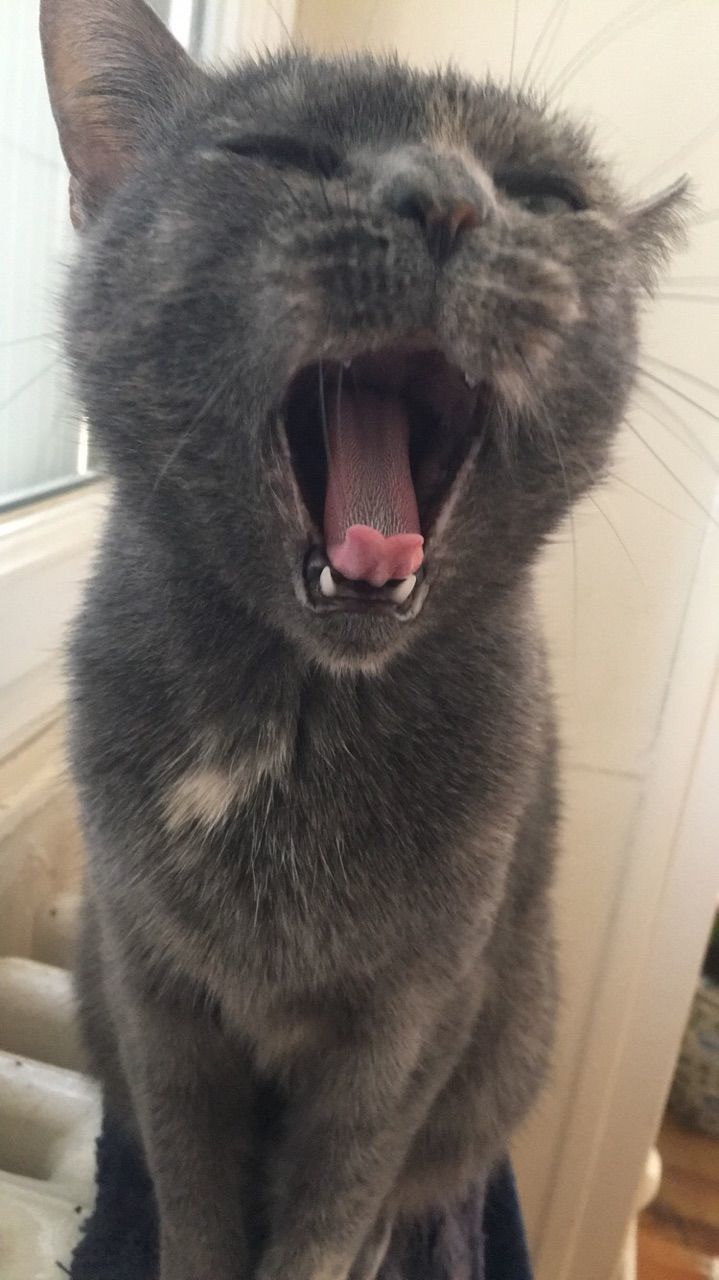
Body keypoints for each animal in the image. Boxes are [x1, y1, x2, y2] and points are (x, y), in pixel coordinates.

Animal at [41, 2, 685, 1280]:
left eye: (542, 194)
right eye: (278, 153)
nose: (444, 200)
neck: (295, 717)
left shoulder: (413, 1017)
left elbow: (334, 1199)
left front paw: (333, 1241)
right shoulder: (153, 985)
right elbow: (192, 1184)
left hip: (515, 1011)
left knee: (425, 1169)